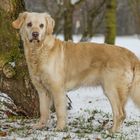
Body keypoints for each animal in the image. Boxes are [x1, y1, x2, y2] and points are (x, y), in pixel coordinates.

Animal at [12, 11, 140, 132]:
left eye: (41, 25)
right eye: (29, 24)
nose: (35, 34)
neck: (39, 51)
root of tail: (131, 54)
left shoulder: (58, 89)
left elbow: (60, 111)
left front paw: (59, 128)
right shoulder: (42, 91)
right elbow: (43, 111)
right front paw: (40, 126)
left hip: (111, 89)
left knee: (120, 113)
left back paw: (111, 132)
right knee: (122, 113)